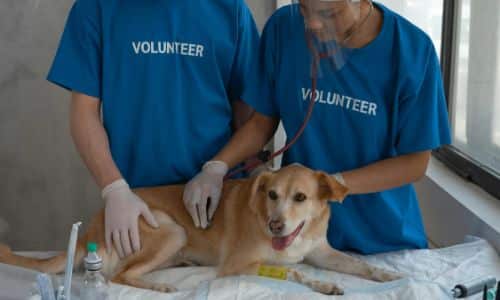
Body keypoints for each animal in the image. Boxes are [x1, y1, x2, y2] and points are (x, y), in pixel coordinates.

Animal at [0, 163, 400, 294]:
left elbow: (357, 264)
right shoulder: (238, 265)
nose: (275, 224)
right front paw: (322, 285)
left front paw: (385, 275)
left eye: (300, 197)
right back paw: (159, 286)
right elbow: (295, 273)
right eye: (271, 194)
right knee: (121, 276)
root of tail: (94, 224)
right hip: (169, 229)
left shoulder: (321, 251)